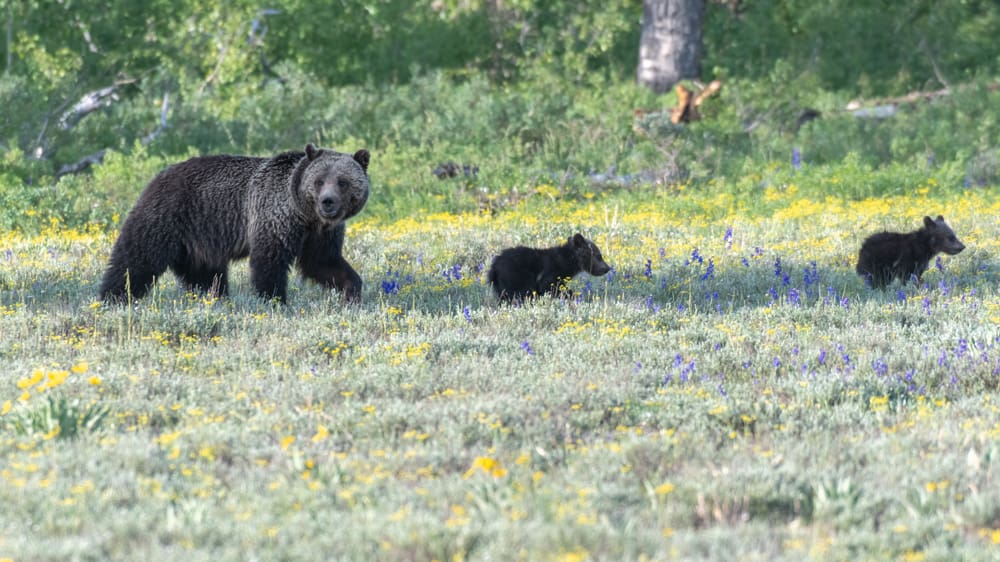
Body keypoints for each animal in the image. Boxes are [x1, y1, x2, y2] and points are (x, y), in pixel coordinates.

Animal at [99, 143, 372, 302]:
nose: (328, 202)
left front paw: (352, 290)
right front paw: (274, 300)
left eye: (342, 181)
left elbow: (323, 262)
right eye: (319, 181)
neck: (305, 215)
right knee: (137, 257)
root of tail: (159, 175)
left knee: (206, 274)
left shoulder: (321, 234)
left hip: (199, 238)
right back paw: (113, 296)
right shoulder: (273, 215)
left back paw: (215, 298)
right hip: (167, 215)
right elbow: (269, 262)